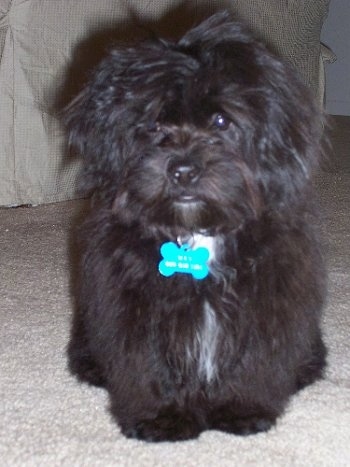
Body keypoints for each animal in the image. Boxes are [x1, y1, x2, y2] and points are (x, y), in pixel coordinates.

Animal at [64, 11, 326, 442]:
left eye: (221, 120)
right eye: (154, 124)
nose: (183, 170)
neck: (198, 234)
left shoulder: (268, 299)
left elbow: (255, 359)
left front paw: (241, 409)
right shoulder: (132, 303)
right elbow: (148, 363)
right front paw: (161, 416)